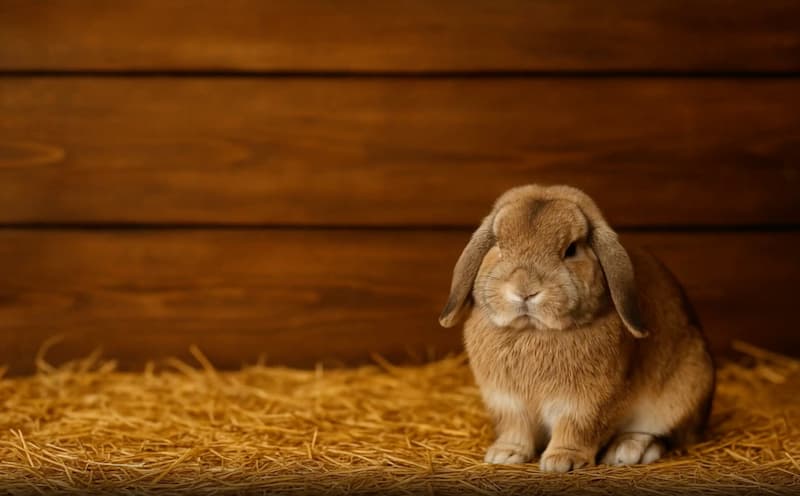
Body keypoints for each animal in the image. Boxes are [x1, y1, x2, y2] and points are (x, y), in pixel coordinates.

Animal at [439, 184, 714, 472]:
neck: (532, 331)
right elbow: (516, 429)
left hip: (683, 392)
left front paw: (562, 460)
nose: (524, 289)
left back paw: (628, 450)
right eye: (499, 245)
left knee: (667, 436)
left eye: (571, 250)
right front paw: (505, 454)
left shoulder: (586, 404)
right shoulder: (508, 403)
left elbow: (576, 429)